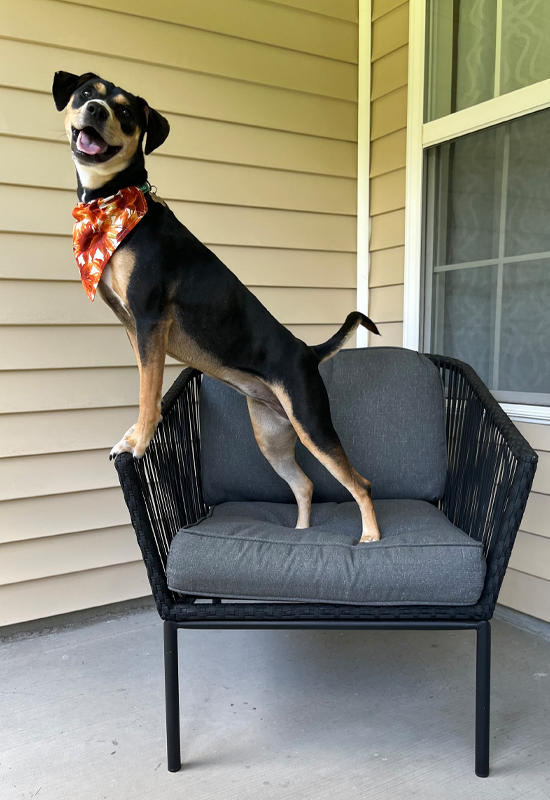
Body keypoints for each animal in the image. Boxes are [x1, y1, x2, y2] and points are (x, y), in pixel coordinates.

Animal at [52, 72, 384, 544]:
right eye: (85, 94)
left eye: (127, 112)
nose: (95, 110)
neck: (113, 206)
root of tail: (307, 351)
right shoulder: (132, 326)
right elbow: (146, 387)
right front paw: (136, 433)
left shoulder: (149, 318)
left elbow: (148, 391)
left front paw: (137, 443)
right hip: (272, 434)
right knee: (304, 484)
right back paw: (300, 531)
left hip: (312, 423)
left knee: (360, 482)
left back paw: (371, 536)